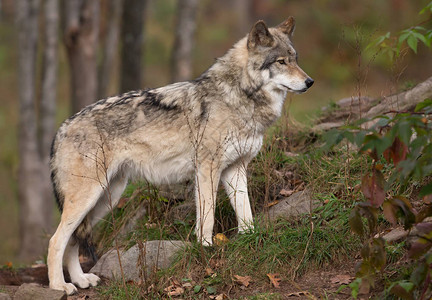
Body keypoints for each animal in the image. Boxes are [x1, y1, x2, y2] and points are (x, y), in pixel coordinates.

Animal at [48, 17, 314, 294]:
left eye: (295, 59)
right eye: (281, 62)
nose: (309, 82)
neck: (238, 96)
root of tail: (61, 129)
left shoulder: (236, 169)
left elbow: (246, 213)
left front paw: (249, 240)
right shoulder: (207, 168)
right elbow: (207, 218)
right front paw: (206, 250)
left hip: (105, 199)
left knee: (73, 240)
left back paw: (80, 280)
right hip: (89, 197)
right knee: (56, 240)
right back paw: (59, 286)